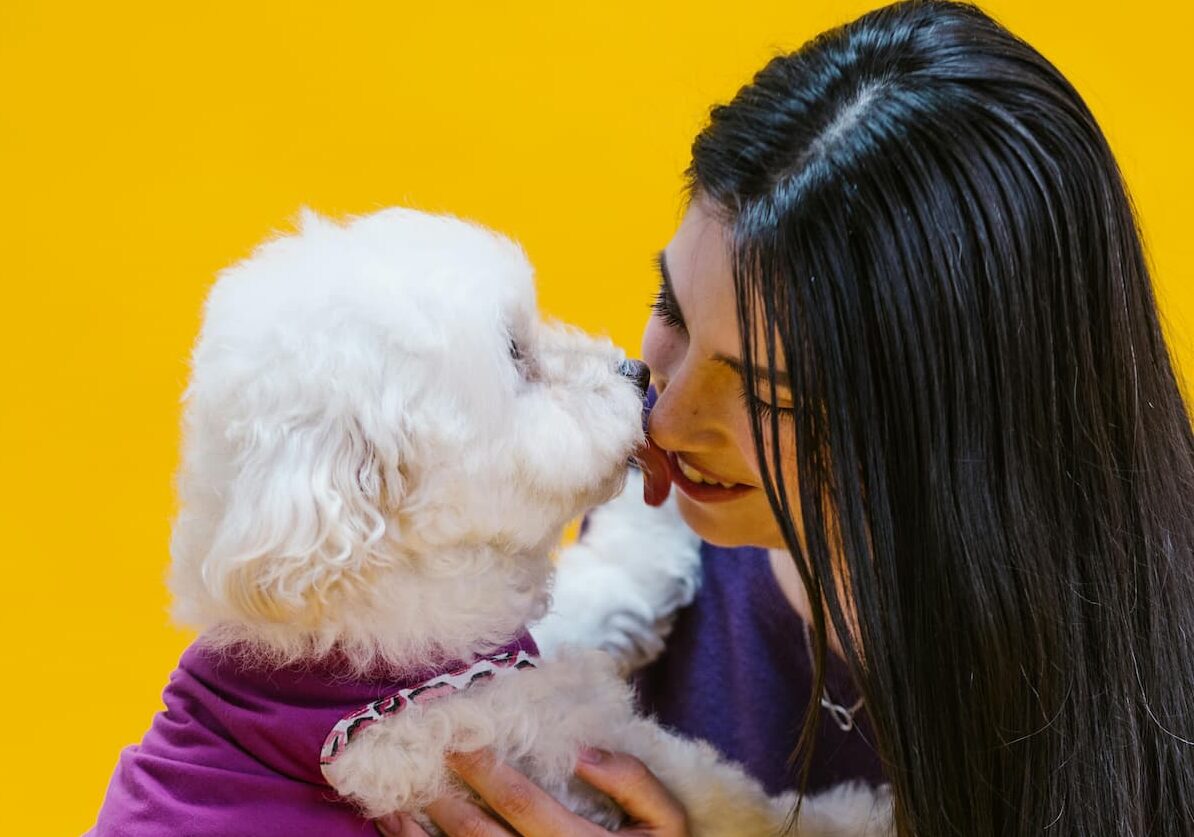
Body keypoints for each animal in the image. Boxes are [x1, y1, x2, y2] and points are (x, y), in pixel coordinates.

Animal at [93, 204, 893, 835]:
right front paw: (866, 815)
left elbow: (599, 587)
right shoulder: (512, 735)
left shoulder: (503, 650)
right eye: (514, 354)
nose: (637, 373)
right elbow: (727, 798)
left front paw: (656, 519)